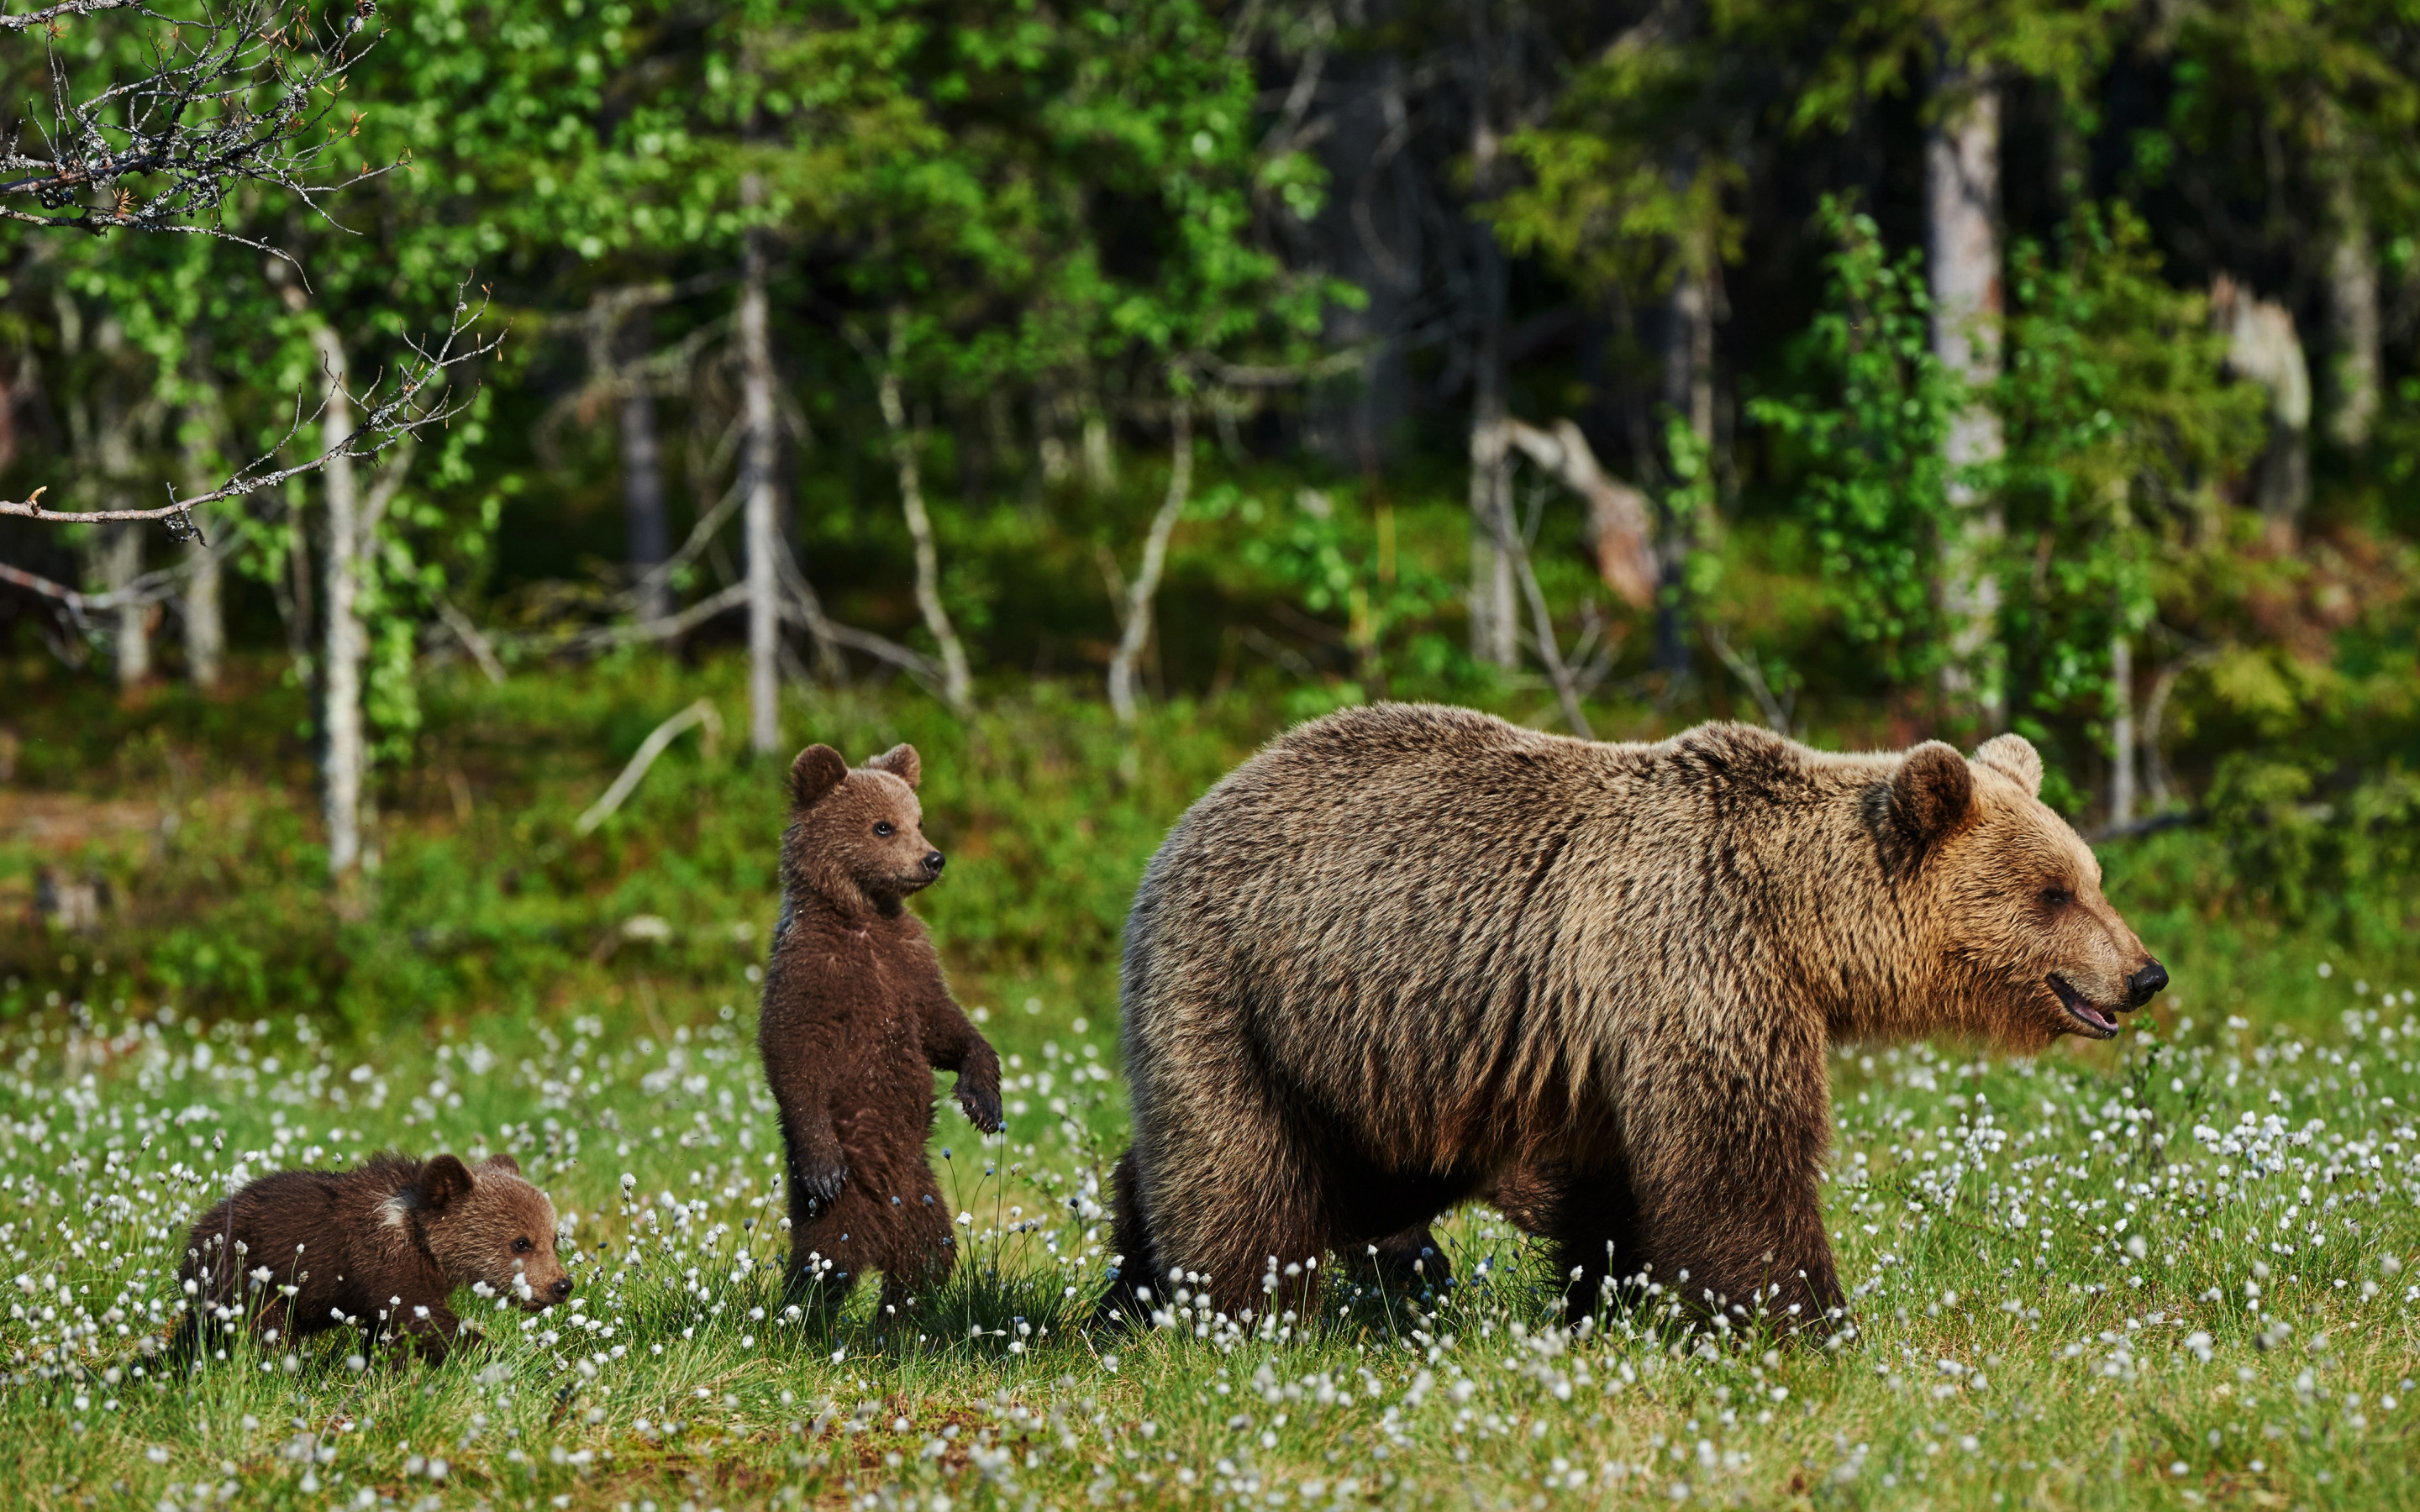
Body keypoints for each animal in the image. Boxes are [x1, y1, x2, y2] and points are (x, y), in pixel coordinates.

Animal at [1098, 701, 2158, 1326]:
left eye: (2094, 878)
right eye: (2054, 893)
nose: (2143, 974)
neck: (1798, 920)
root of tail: (1199, 807)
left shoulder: (1599, 1035)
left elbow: (1619, 1182)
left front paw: (1612, 1301)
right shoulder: (1696, 958)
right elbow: (1737, 1158)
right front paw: (1810, 1322)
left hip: (1372, 1055)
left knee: (1356, 1178)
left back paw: (1132, 1277)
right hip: (1242, 991)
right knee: (1241, 1168)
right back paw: (1230, 1311)